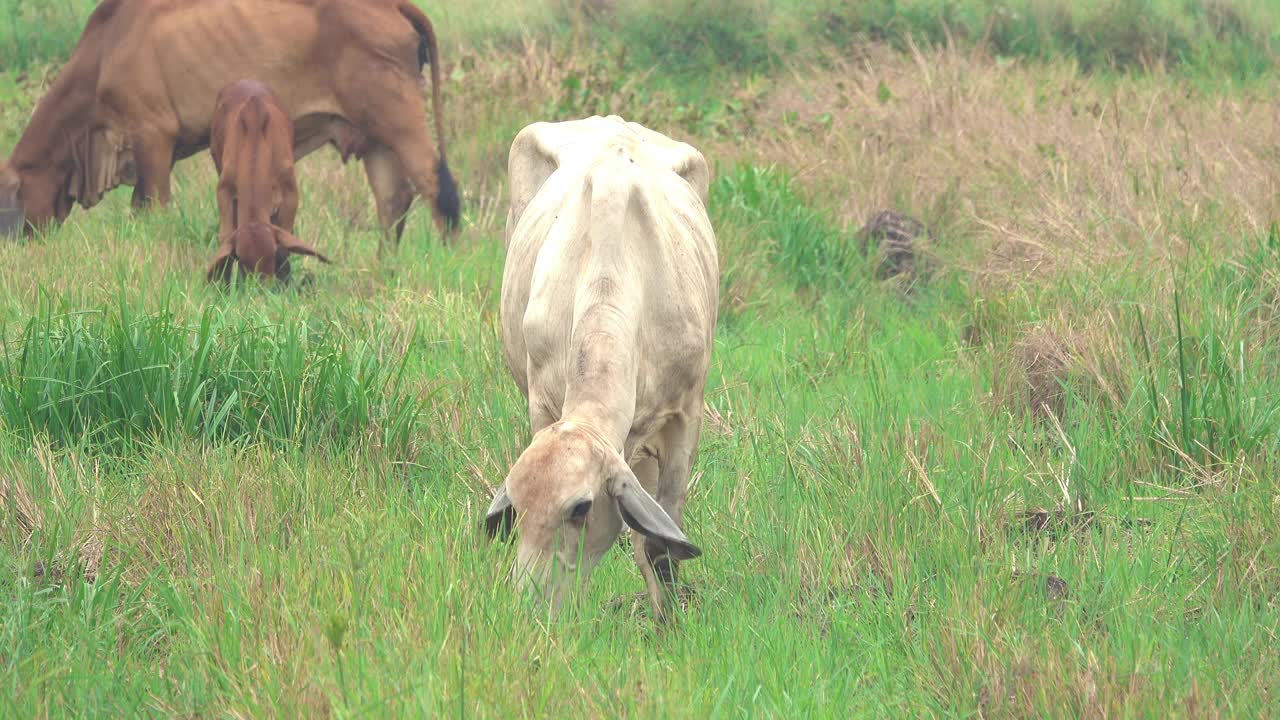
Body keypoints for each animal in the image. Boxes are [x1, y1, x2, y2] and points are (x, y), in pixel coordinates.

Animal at [0, 0, 460, 249]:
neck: (104, 51)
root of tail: (393, 5)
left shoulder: (153, 136)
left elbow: (152, 208)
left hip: (398, 118)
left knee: (436, 186)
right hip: (373, 135)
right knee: (394, 200)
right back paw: (383, 267)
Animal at [204, 78, 330, 280]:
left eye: (273, 254)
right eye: (241, 259)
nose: (259, 286)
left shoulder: (290, 190)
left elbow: (287, 238)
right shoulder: (224, 188)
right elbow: (225, 236)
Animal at [483, 113, 721, 617]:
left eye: (580, 508)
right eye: (518, 507)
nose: (530, 606)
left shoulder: (685, 413)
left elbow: (659, 545)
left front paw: (668, 621)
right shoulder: (542, 402)